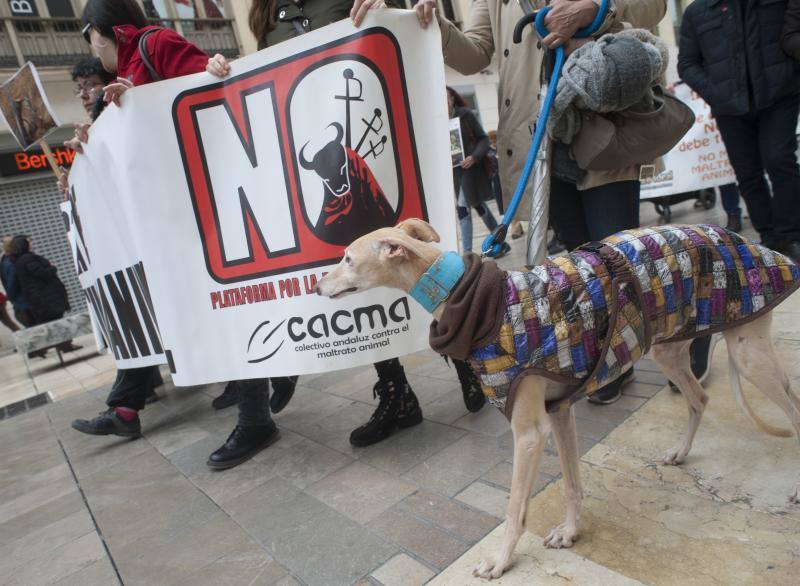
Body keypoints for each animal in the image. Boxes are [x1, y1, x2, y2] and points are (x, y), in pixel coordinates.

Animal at [318, 218, 800, 576]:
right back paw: (680, 452)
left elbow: (515, 509)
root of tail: (736, 236)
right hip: (671, 349)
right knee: (700, 397)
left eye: (346, 258)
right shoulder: (560, 410)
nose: (317, 287)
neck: (468, 296)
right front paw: (569, 534)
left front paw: (500, 561)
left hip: (749, 354)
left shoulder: (530, 431)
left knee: (792, 408)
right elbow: (571, 484)